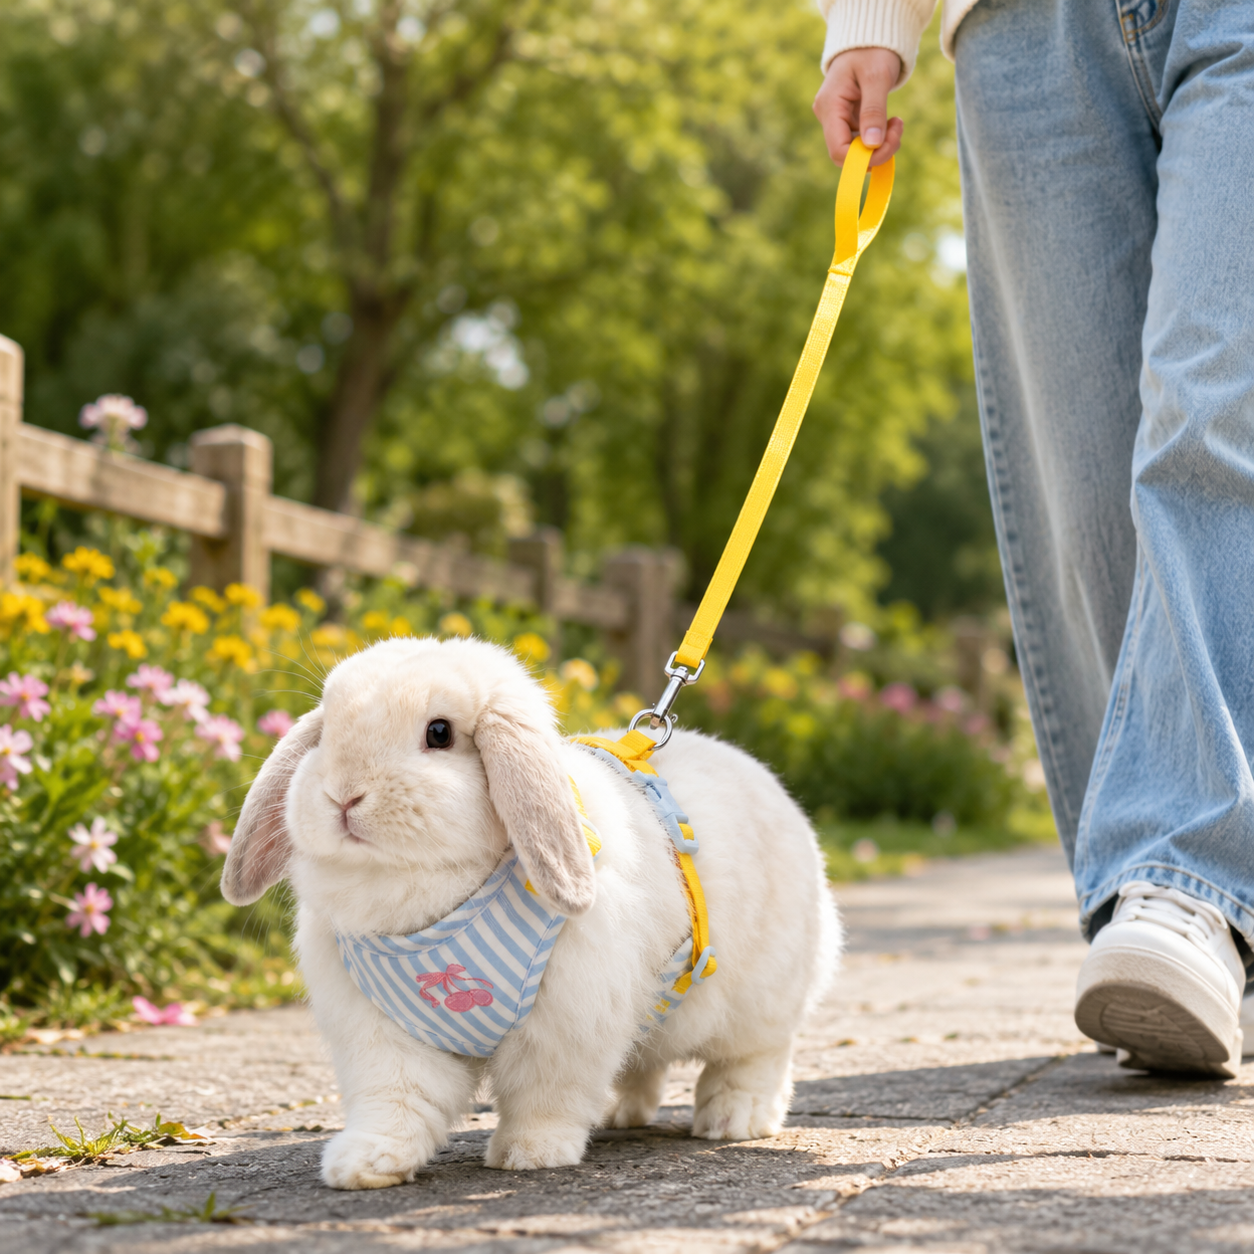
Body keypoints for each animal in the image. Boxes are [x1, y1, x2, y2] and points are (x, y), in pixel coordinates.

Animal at [222, 635, 840, 1189]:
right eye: (325, 732)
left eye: (439, 733)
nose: (343, 796)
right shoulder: (383, 1035)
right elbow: (396, 1099)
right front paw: (365, 1164)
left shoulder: (565, 1025)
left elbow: (545, 1094)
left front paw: (530, 1154)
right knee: (642, 1061)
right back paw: (618, 1114)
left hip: (762, 999)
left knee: (754, 1060)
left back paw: (734, 1119)